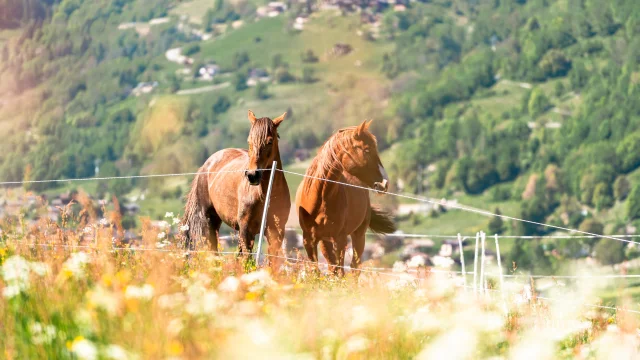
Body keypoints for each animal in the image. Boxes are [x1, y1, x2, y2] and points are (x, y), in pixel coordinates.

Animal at [180, 109, 290, 262]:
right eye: (249, 141)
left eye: (270, 141)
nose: (252, 175)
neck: (265, 195)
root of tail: (207, 164)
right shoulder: (246, 230)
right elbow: (247, 261)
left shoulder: (276, 233)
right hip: (208, 221)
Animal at [296, 121, 396, 276]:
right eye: (367, 150)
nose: (384, 183)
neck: (320, 198)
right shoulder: (309, 240)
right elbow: (317, 271)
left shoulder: (340, 240)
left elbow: (340, 272)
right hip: (325, 241)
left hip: (358, 235)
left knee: (355, 267)